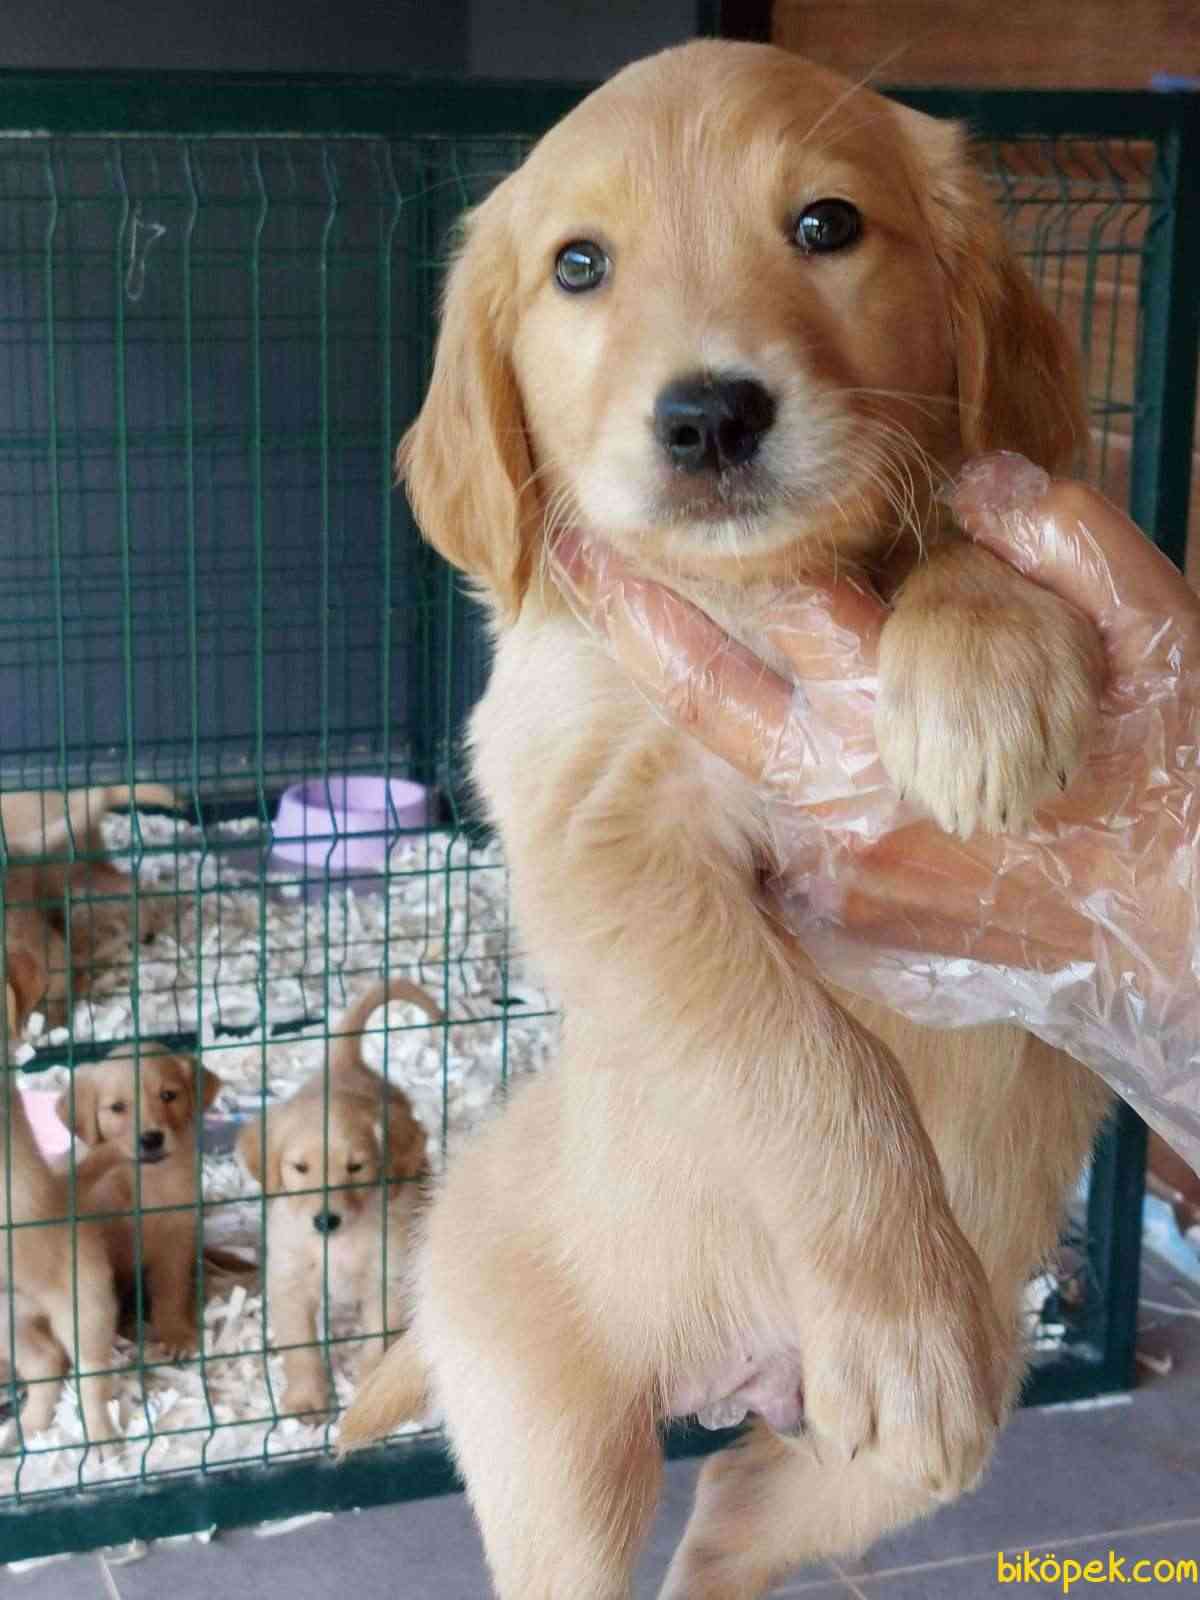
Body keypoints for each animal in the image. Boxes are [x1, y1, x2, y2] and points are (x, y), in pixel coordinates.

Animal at [57, 1043, 222, 1359]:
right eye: (118, 1107)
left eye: (168, 1095)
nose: (151, 1138)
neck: (146, 1180)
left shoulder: (176, 1241)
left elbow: (171, 1292)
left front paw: (176, 1335)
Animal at [238, 978, 434, 1419]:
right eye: (300, 1167)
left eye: (356, 1167)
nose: (325, 1220)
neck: (339, 1243)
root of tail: (345, 1065)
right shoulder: (290, 1280)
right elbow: (301, 1348)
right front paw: (307, 1399)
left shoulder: (386, 1278)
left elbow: (378, 1340)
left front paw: (372, 1391)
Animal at [340, 41, 1113, 1600]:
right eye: (579, 265)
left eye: (827, 226)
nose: (708, 416)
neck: (756, 593)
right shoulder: (598, 844)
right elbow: (810, 1061)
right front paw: (904, 1317)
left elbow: (963, 515)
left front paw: (986, 658)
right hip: (559, 1446)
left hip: (845, 1475)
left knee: (729, 1525)